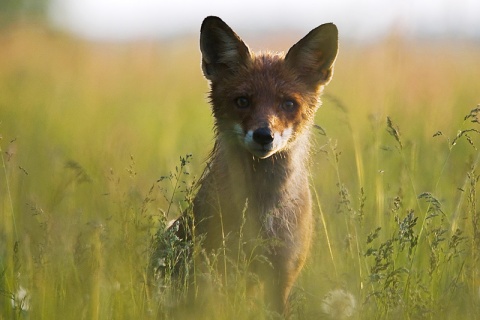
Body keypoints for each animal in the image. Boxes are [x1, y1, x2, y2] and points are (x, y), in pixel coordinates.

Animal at [154, 15, 338, 316]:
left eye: (288, 104)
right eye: (242, 101)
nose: (264, 135)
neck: (262, 212)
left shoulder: (282, 275)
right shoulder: (216, 267)